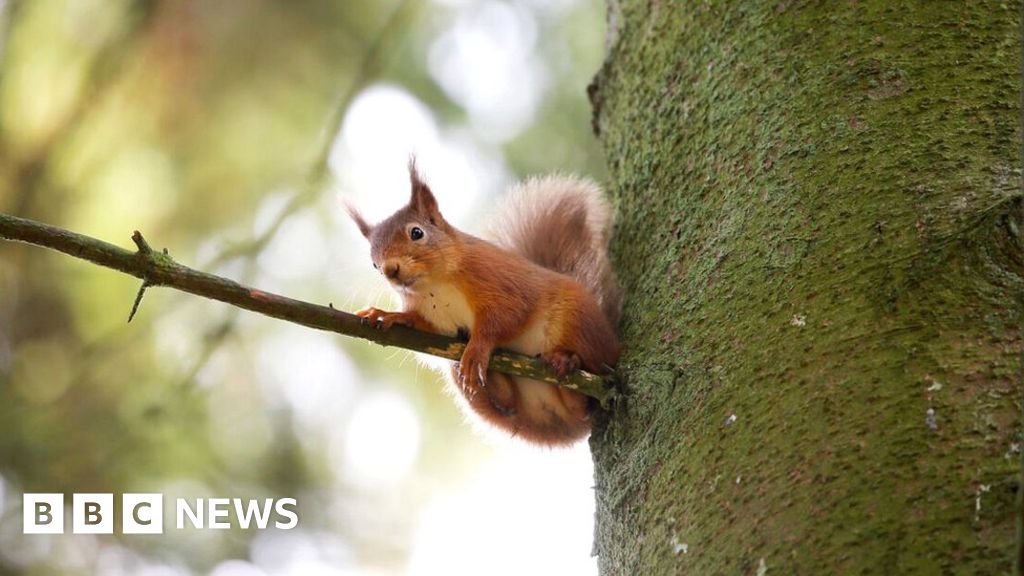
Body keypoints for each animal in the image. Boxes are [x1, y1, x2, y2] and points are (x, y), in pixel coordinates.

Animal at [348, 161, 618, 444]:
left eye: (416, 232)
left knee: (592, 388)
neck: (435, 285)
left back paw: (566, 362)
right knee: (512, 404)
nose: (390, 270)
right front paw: (389, 315)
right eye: (373, 263)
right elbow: (422, 325)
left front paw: (478, 348)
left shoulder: (498, 281)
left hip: (577, 322)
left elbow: (506, 317)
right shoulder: (435, 319)